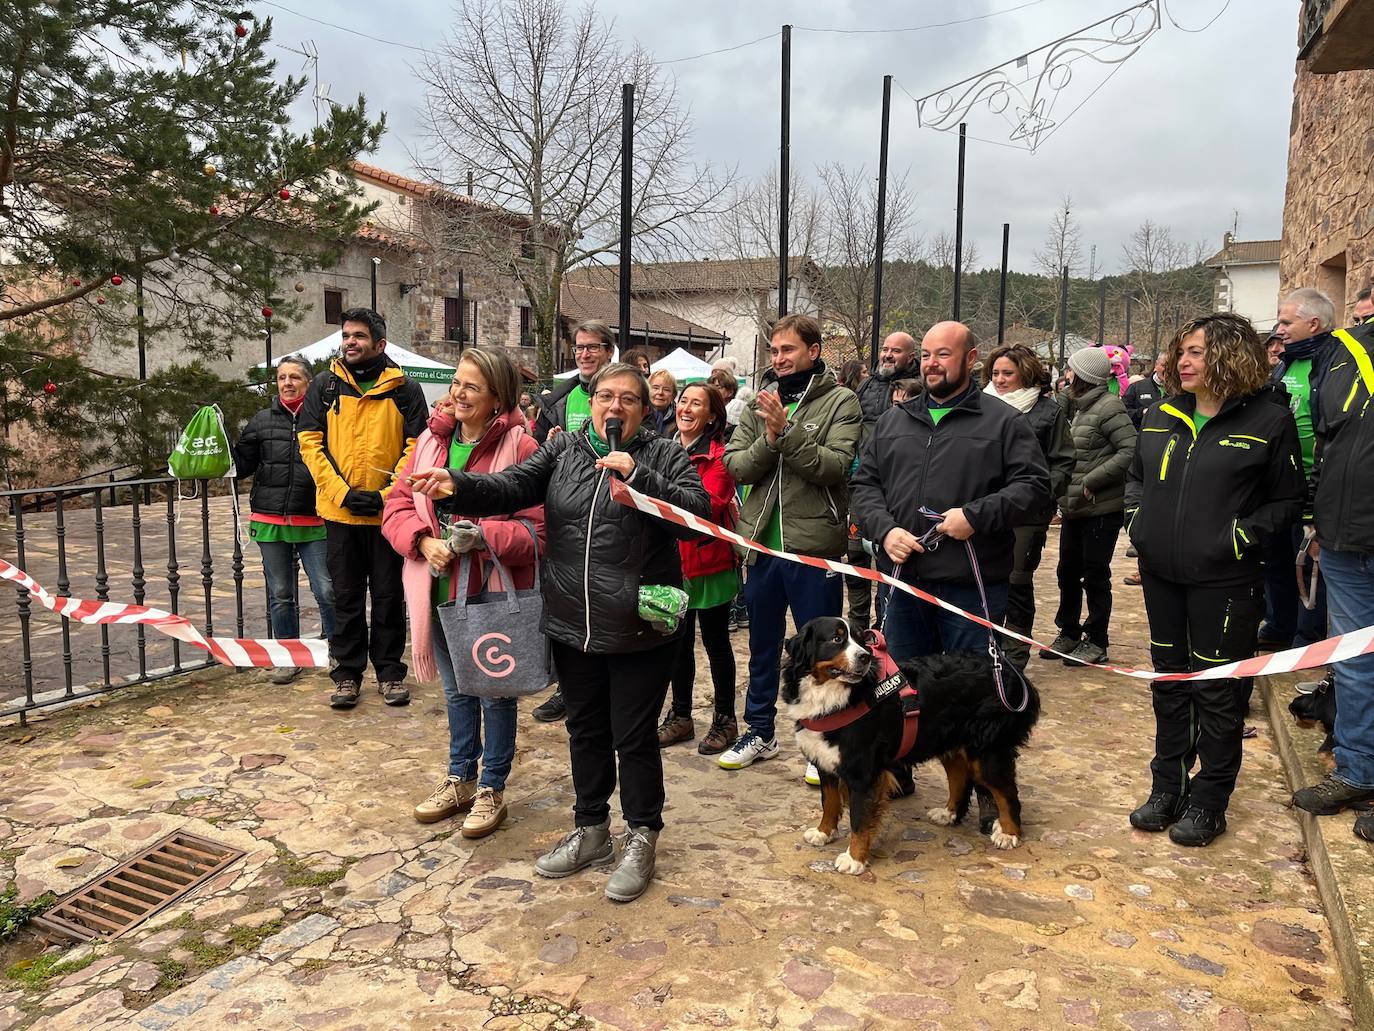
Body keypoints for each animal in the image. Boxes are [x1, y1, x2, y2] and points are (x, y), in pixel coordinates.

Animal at [780, 618, 1033, 874]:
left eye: (862, 640)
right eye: (836, 639)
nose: (865, 657)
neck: (833, 695)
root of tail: (1008, 672)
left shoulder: (862, 771)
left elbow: (859, 819)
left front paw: (854, 859)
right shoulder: (825, 761)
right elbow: (829, 803)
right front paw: (823, 833)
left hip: (987, 751)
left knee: (1007, 792)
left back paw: (1008, 833)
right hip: (950, 744)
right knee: (960, 778)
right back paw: (948, 814)